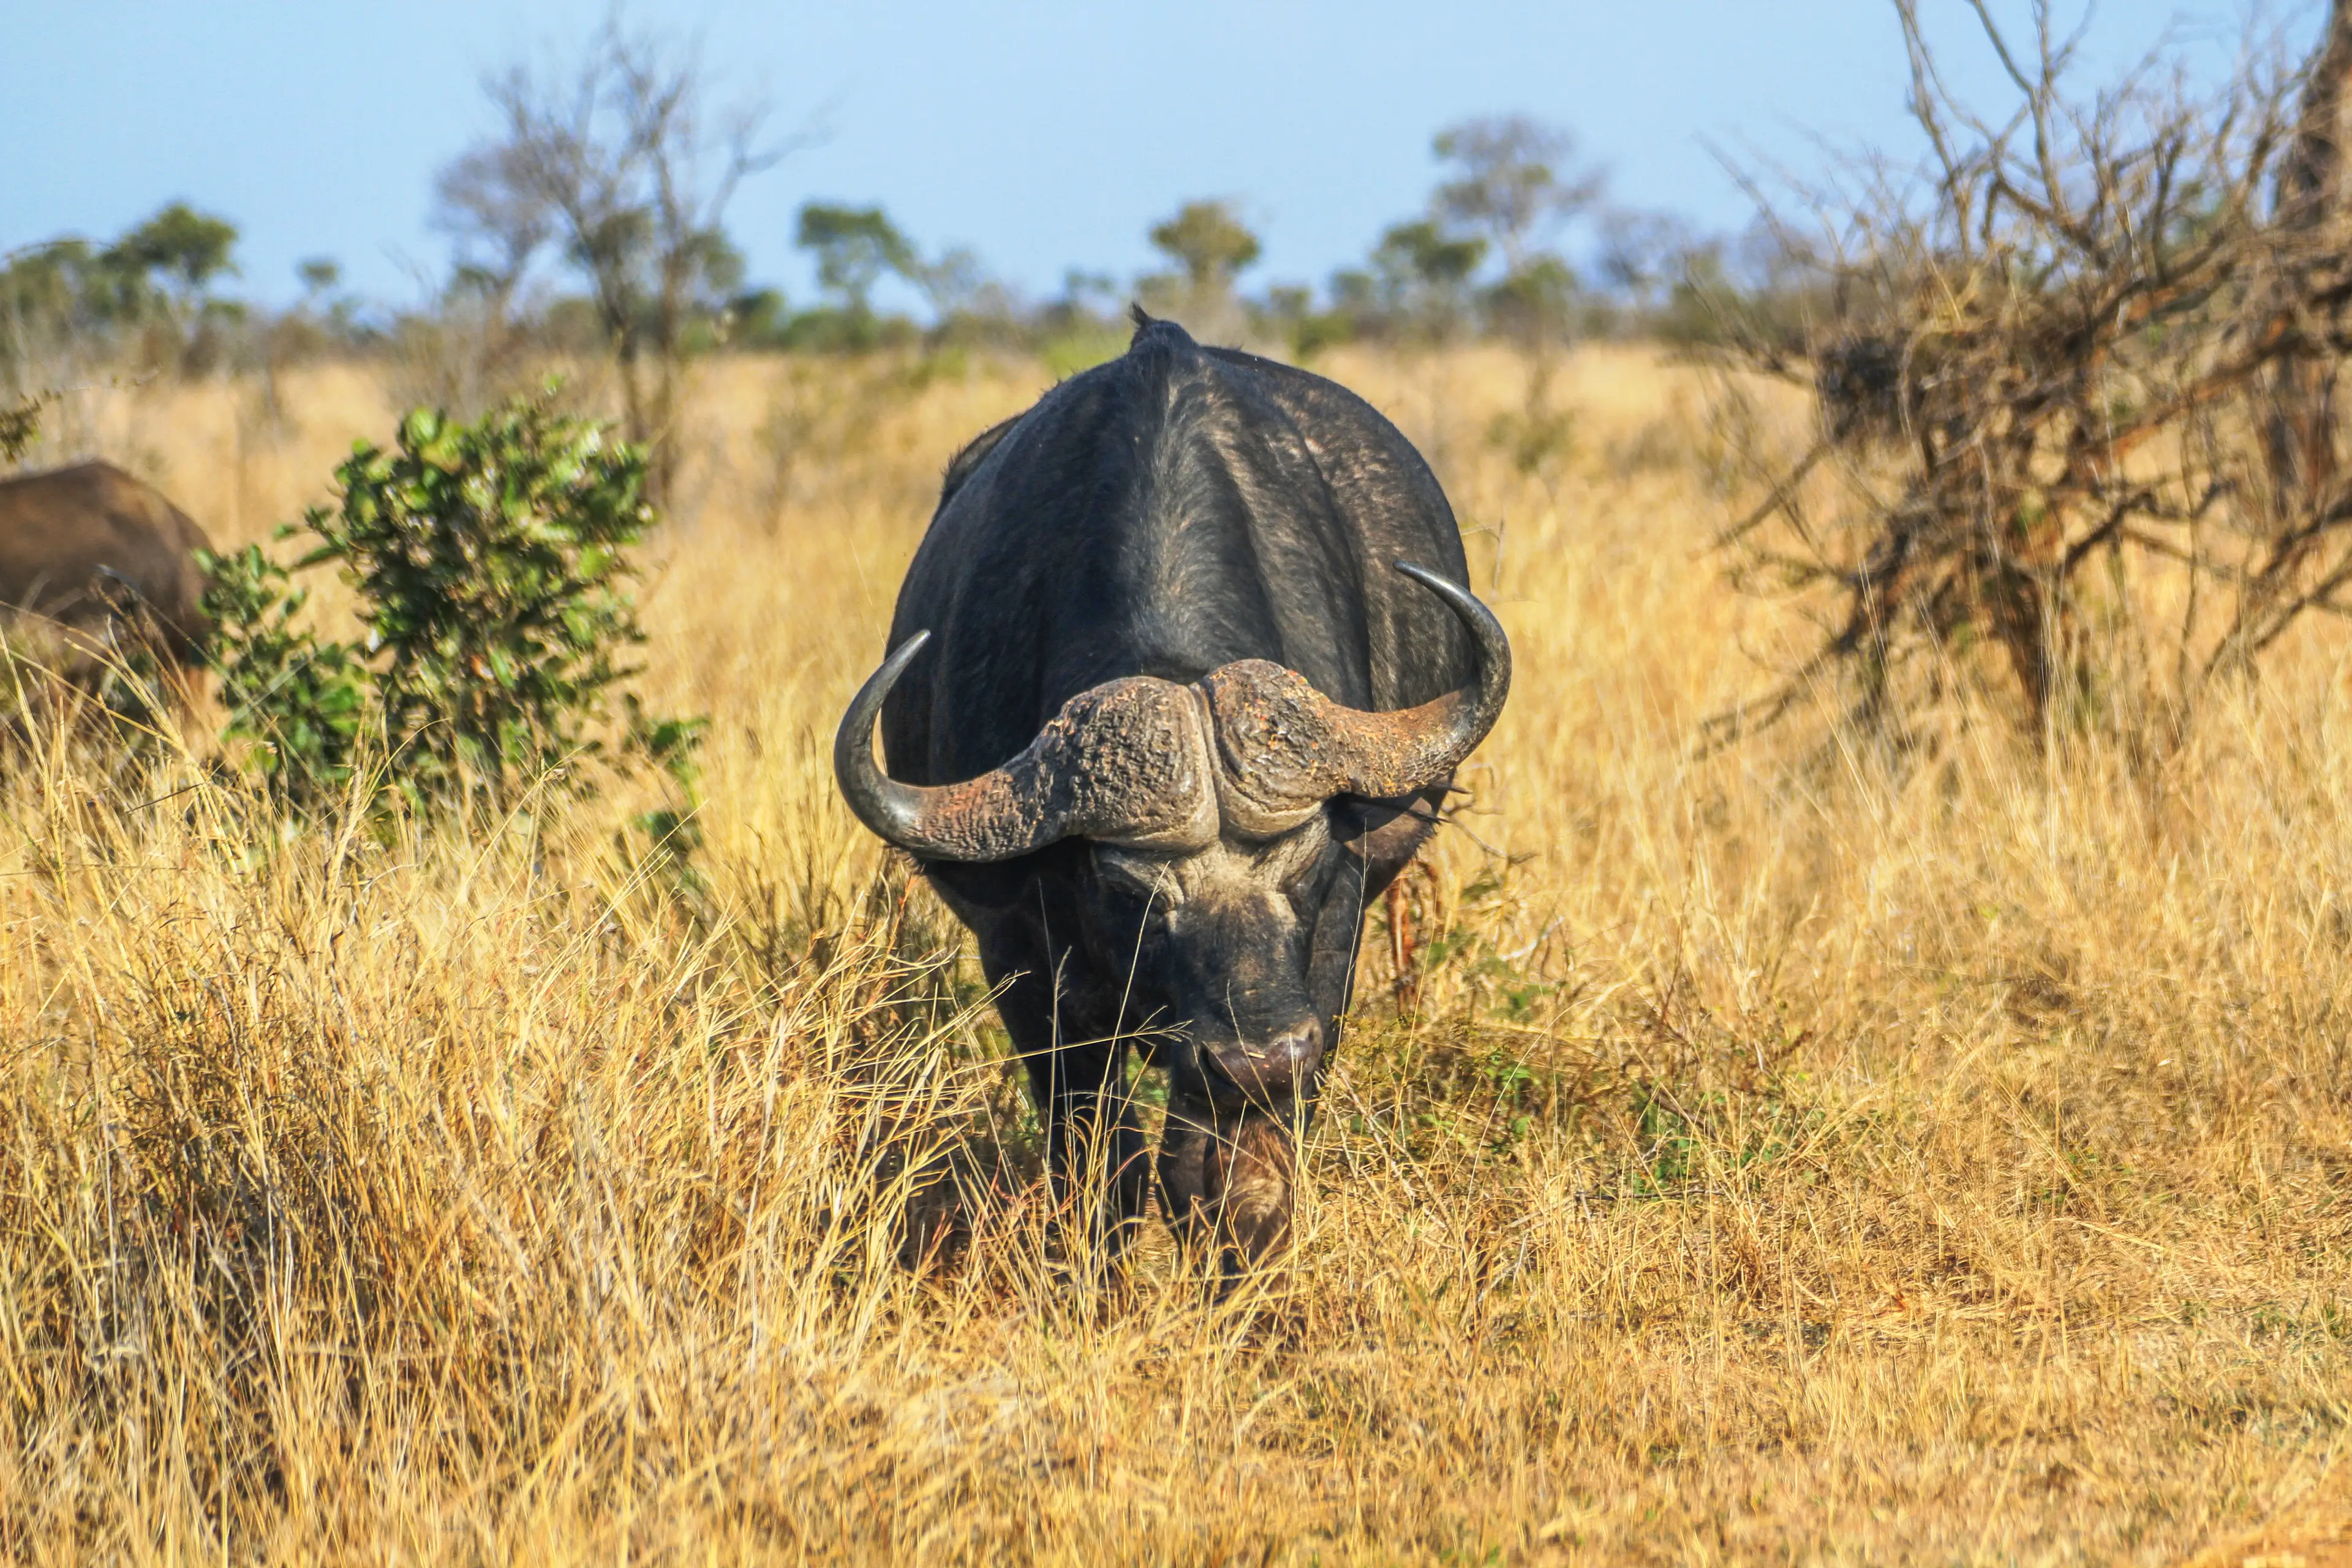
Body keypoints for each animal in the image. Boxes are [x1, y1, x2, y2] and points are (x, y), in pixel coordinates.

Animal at [836, 315, 1509, 1279]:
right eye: (1130, 890)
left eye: (1304, 862)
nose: (1261, 1059)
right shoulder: (1022, 962)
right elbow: (1097, 1158)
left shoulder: (1321, 963)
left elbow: (1225, 1166)